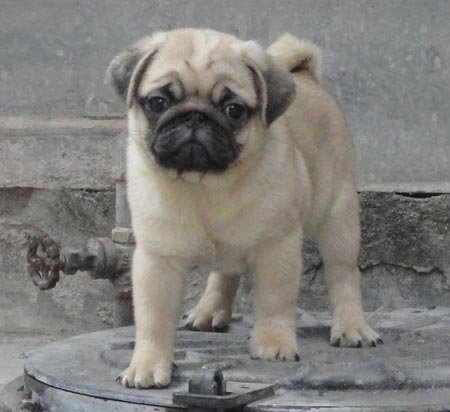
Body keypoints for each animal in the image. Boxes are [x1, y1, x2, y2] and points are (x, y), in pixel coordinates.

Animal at [107, 28, 381, 389]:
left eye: (234, 110)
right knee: (225, 272)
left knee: (342, 275)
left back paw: (352, 327)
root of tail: (305, 74)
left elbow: (274, 301)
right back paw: (209, 310)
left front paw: (273, 344)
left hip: (338, 218)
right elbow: (153, 319)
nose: (195, 116)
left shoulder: (277, 249)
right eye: (158, 102)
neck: (204, 186)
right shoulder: (157, 260)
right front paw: (148, 365)